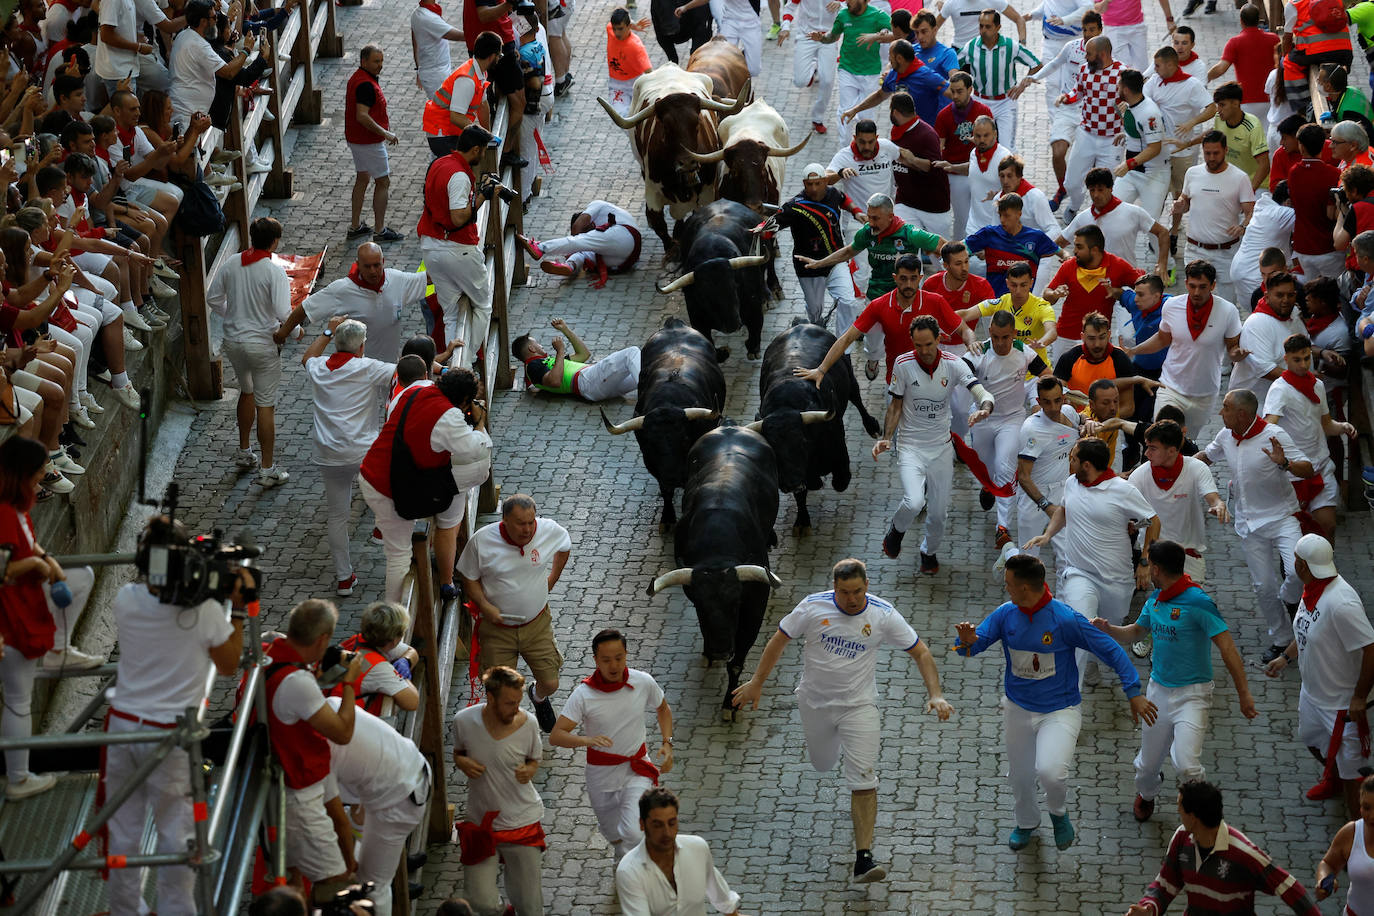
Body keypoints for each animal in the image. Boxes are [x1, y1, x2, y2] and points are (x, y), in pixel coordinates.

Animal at [596, 64, 747, 252]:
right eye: (665, 126)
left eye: (697, 122)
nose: (687, 162)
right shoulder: (652, 192)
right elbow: (658, 224)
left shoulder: (707, 191)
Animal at [645, 425, 780, 719]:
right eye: (700, 606)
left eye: (735, 603)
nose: (719, 651)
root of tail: (730, 426)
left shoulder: (755, 607)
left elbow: (737, 663)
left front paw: (731, 703)